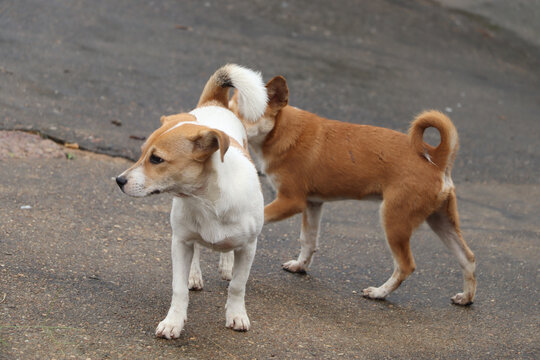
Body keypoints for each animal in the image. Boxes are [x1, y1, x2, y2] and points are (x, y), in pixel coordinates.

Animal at [116, 64, 266, 338]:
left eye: (156, 159)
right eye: (142, 153)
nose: (119, 181)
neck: (206, 200)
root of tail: (214, 103)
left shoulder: (249, 247)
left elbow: (238, 286)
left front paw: (236, 315)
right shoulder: (180, 242)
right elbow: (178, 288)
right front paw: (173, 322)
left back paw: (226, 264)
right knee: (196, 250)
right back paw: (194, 275)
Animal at [230, 77, 474, 306]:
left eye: (244, 114)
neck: (280, 131)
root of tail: (436, 159)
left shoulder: (291, 201)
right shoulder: (312, 204)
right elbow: (308, 241)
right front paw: (300, 266)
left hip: (395, 220)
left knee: (406, 266)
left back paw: (379, 293)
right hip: (440, 220)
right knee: (468, 258)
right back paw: (466, 297)